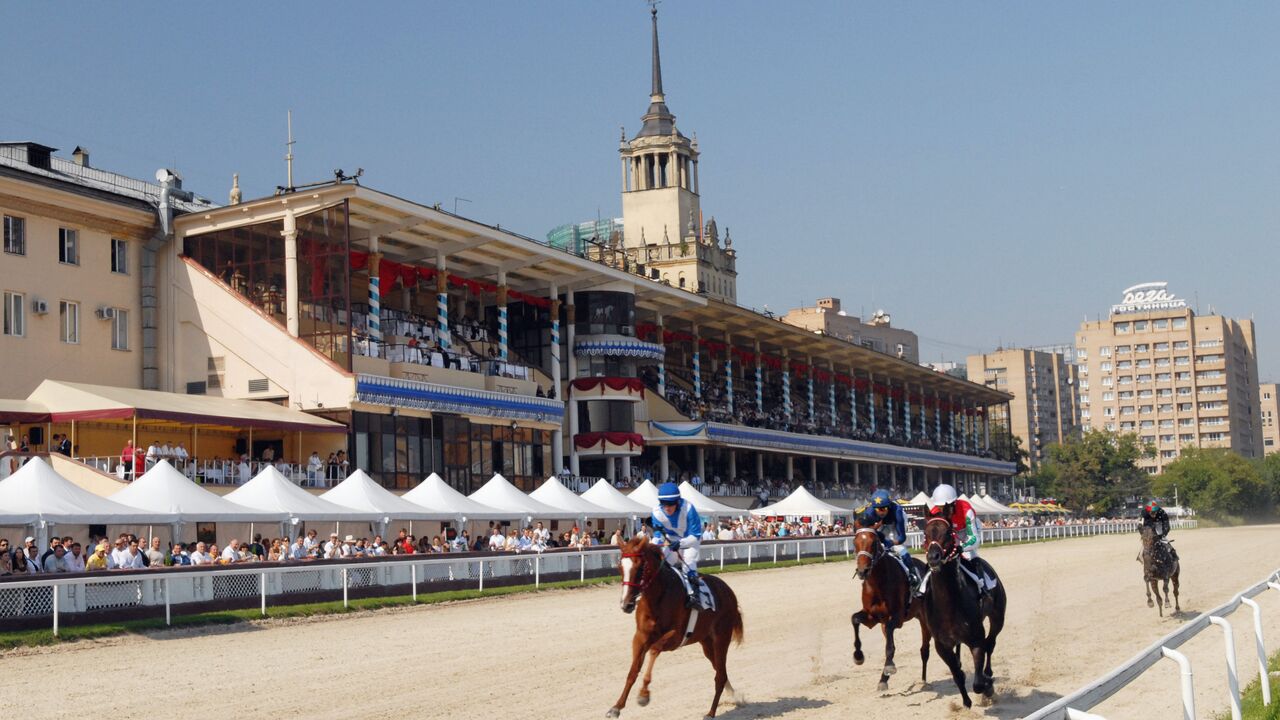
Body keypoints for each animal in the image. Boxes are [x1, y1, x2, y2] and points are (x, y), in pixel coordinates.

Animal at [606, 532, 747, 717]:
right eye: (619, 567)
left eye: (641, 568)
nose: (626, 604)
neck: (658, 597)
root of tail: (729, 592)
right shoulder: (640, 637)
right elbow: (633, 671)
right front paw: (616, 707)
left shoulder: (676, 636)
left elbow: (654, 650)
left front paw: (644, 695)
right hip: (707, 643)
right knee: (720, 670)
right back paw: (734, 697)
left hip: (721, 638)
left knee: (720, 676)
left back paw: (711, 712)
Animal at [849, 525, 931, 686]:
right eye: (855, 542)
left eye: (873, 543)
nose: (862, 571)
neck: (878, 583)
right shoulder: (872, 617)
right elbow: (854, 619)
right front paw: (858, 656)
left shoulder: (897, 618)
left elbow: (890, 644)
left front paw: (888, 668)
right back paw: (884, 678)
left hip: (925, 619)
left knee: (925, 649)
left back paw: (924, 678)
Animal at [921, 515, 1008, 707]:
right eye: (925, 533)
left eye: (948, 532)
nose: (933, 557)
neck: (948, 604)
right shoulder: (942, 645)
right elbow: (957, 674)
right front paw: (966, 700)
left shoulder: (975, 639)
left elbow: (978, 683)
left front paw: (988, 686)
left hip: (998, 617)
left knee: (990, 643)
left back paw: (989, 674)